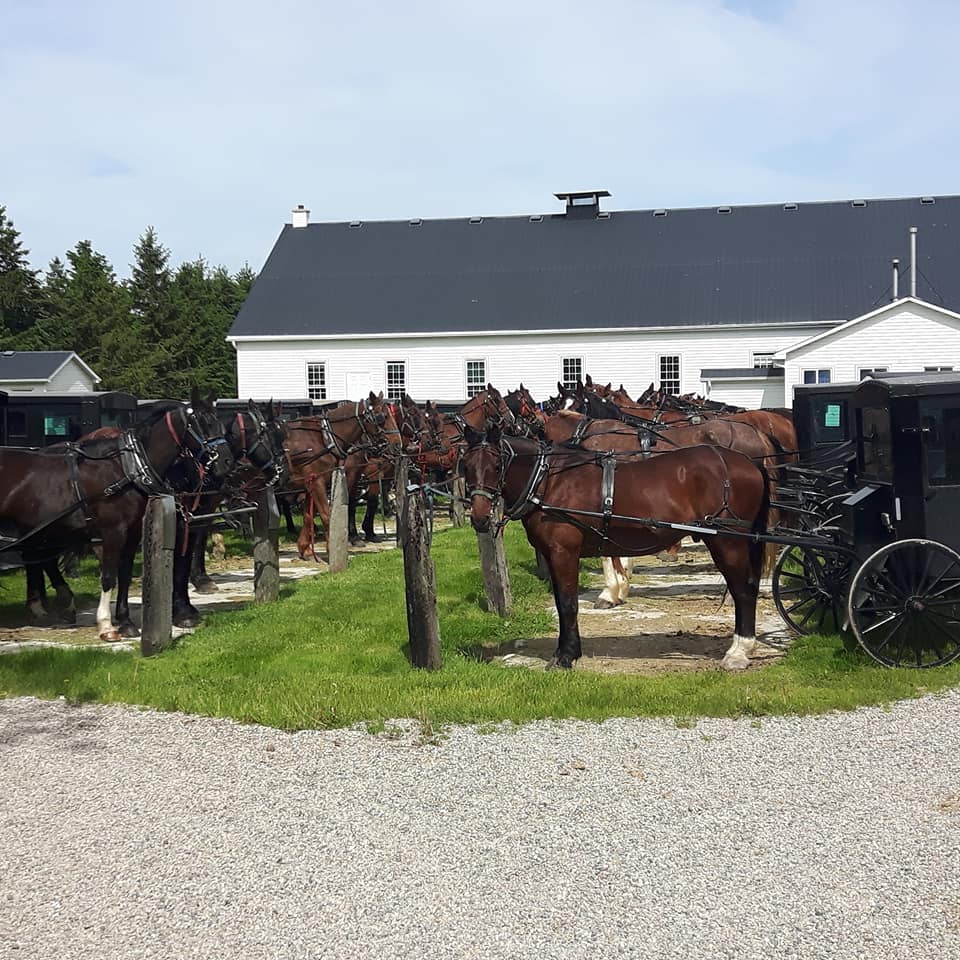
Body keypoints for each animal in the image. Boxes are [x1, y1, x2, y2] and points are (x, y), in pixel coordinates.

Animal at [1, 402, 234, 640]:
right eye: (202, 423)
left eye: (219, 424)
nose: (226, 461)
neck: (127, 468)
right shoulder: (114, 532)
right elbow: (109, 576)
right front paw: (106, 625)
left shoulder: (132, 533)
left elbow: (124, 576)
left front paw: (125, 622)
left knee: (36, 559)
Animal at [462, 428, 776, 676]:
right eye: (466, 466)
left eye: (496, 465)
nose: (479, 517)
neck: (549, 481)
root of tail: (747, 463)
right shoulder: (553, 556)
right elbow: (562, 604)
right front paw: (567, 651)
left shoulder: (564, 552)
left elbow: (568, 604)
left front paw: (566, 657)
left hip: (728, 543)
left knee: (744, 591)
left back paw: (738, 651)